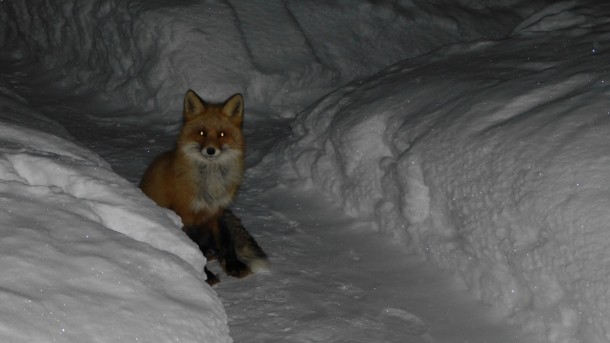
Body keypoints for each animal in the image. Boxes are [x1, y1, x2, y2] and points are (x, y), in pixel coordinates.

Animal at [142, 89, 268, 284]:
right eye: (201, 133)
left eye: (222, 134)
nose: (210, 150)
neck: (210, 184)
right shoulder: (185, 215)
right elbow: (194, 248)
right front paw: (206, 274)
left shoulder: (218, 211)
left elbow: (227, 241)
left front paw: (233, 265)